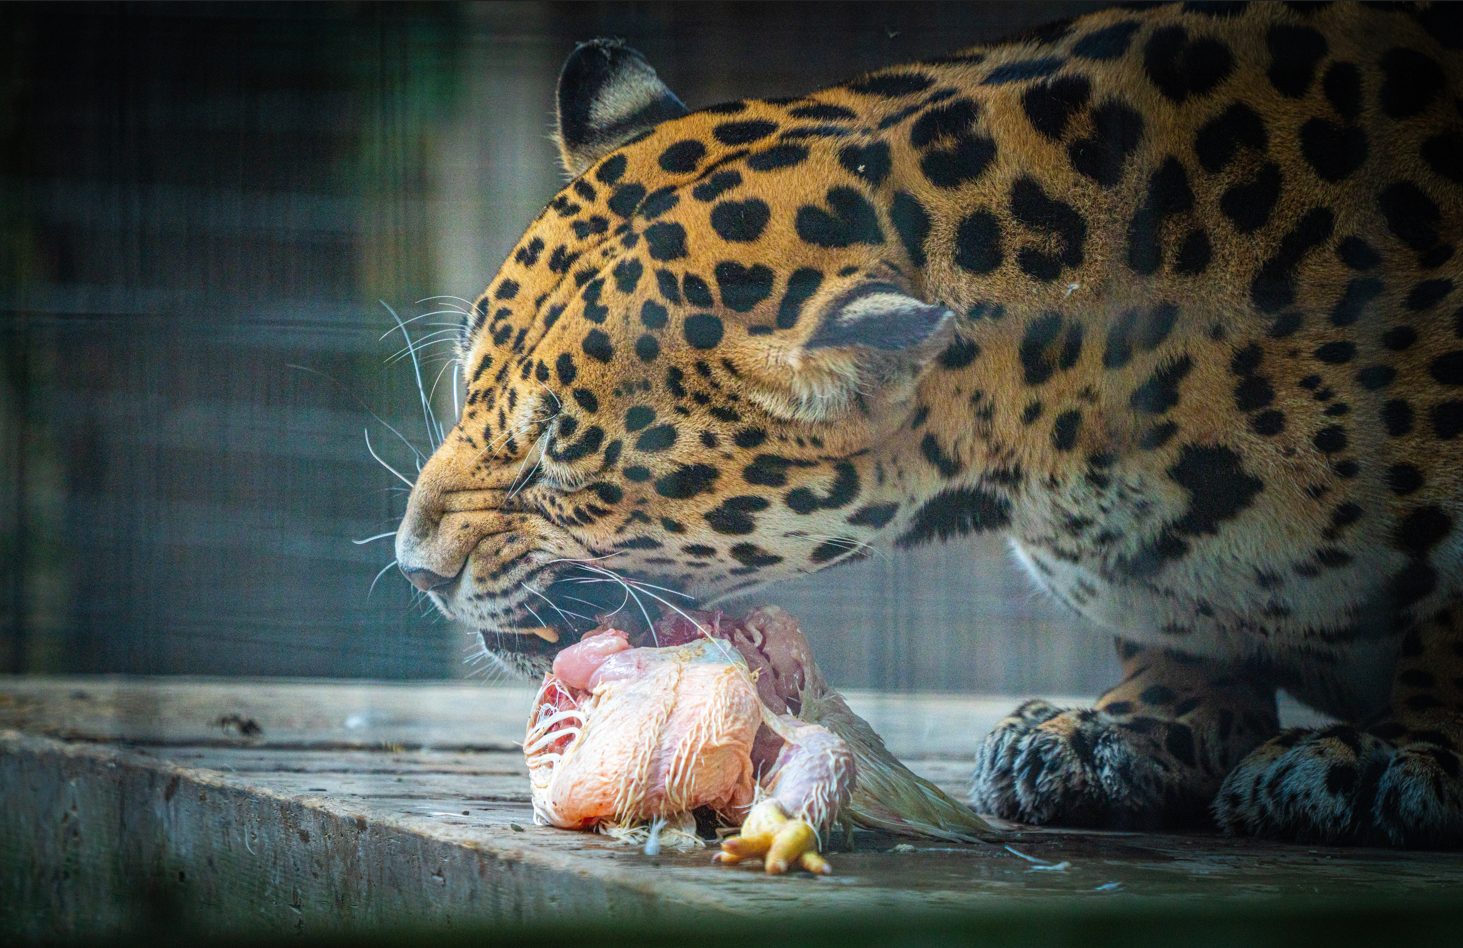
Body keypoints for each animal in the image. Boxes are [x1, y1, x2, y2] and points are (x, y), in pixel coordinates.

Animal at [394, 1, 1463, 848]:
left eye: (557, 454)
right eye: (465, 379)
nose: (415, 569)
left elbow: (1437, 627)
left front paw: (1396, 754)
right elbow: (1176, 648)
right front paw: (1113, 733)